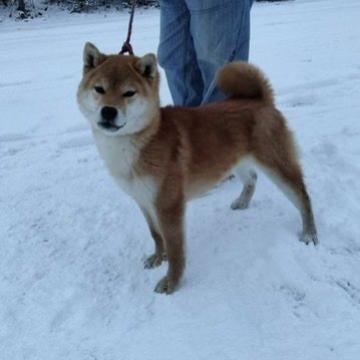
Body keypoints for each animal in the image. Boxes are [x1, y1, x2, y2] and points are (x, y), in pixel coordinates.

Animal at [76, 43, 318, 296]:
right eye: (99, 89)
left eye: (129, 93)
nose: (108, 111)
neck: (142, 140)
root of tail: (261, 99)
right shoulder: (144, 200)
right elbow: (156, 235)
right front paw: (157, 257)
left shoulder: (168, 205)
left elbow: (175, 249)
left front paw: (171, 282)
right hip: (236, 161)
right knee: (252, 178)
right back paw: (242, 201)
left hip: (277, 165)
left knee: (302, 196)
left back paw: (309, 232)